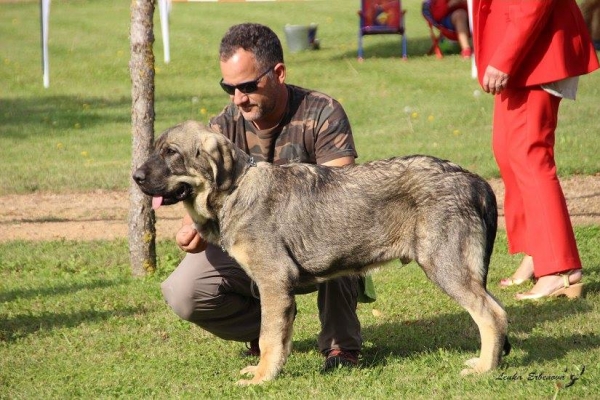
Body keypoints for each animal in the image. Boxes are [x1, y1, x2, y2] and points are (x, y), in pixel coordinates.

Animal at [134, 119, 508, 384]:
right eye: (155, 150)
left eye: (171, 153)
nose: (135, 176)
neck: (236, 190)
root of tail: (475, 180)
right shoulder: (276, 290)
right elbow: (278, 338)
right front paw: (267, 371)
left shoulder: (273, 281)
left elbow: (268, 338)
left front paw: (261, 379)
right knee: (498, 312)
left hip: (445, 267)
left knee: (491, 315)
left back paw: (484, 370)